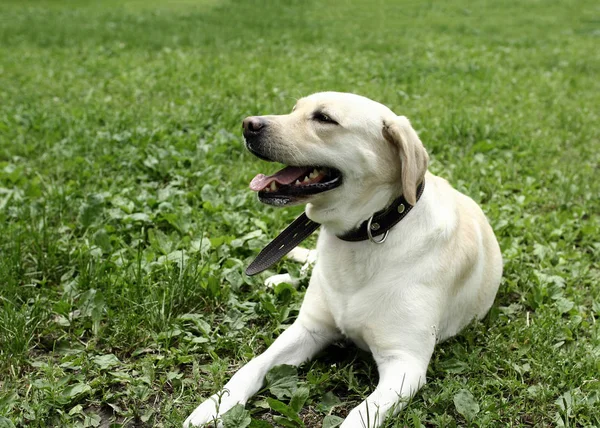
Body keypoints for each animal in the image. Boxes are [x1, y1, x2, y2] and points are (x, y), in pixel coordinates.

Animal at [185, 93, 504, 428]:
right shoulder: (308, 330)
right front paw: (214, 406)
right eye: (294, 109)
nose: (248, 124)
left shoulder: (404, 363)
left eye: (324, 118)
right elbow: (253, 366)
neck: (367, 232)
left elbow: (358, 415)